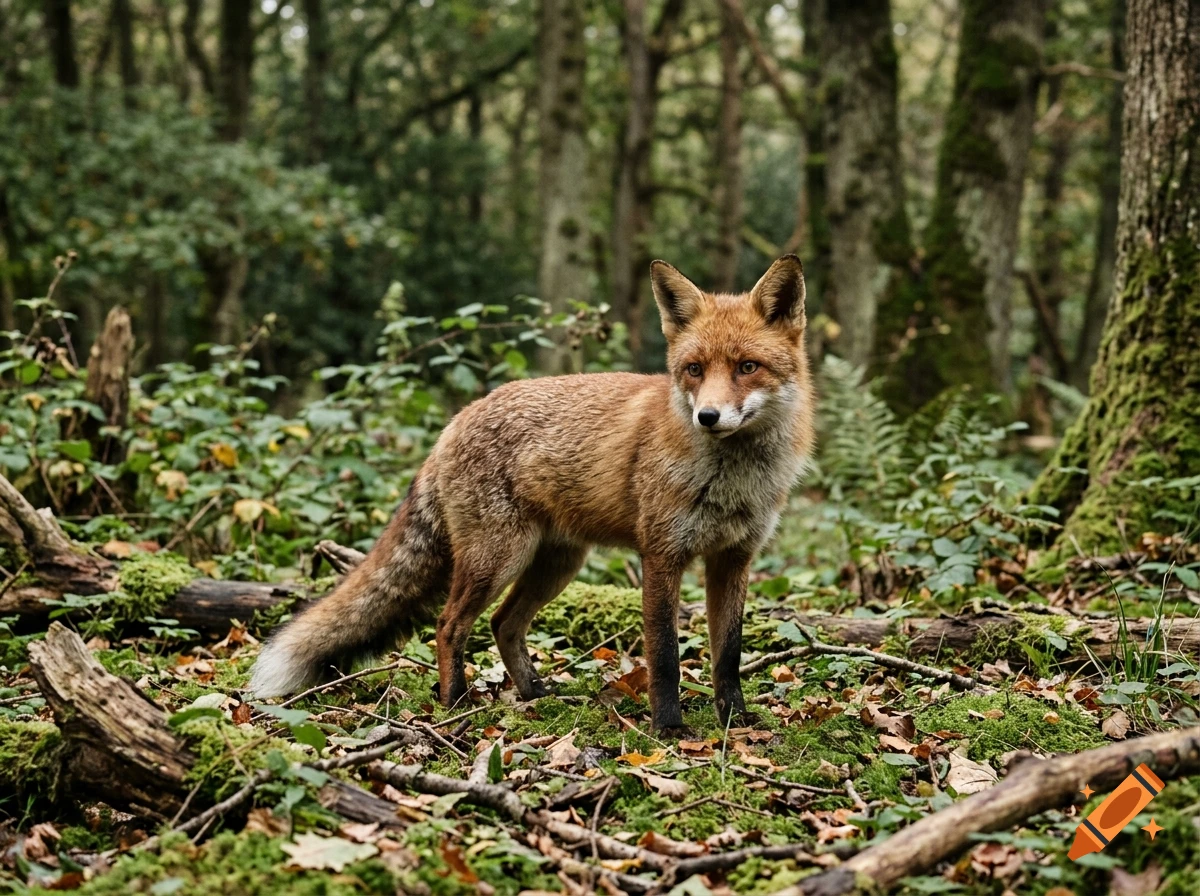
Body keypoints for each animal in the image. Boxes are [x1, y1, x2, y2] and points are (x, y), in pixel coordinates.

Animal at [250, 255, 814, 731]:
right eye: (694, 370)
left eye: (747, 367)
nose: (708, 417)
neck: (731, 481)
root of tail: (455, 420)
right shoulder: (662, 556)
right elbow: (665, 657)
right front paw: (669, 729)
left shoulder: (734, 559)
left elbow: (728, 656)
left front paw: (736, 721)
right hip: (498, 558)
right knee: (450, 625)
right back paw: (456, 704)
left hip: (555, 563)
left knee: (503, 624)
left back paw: (535, 694)